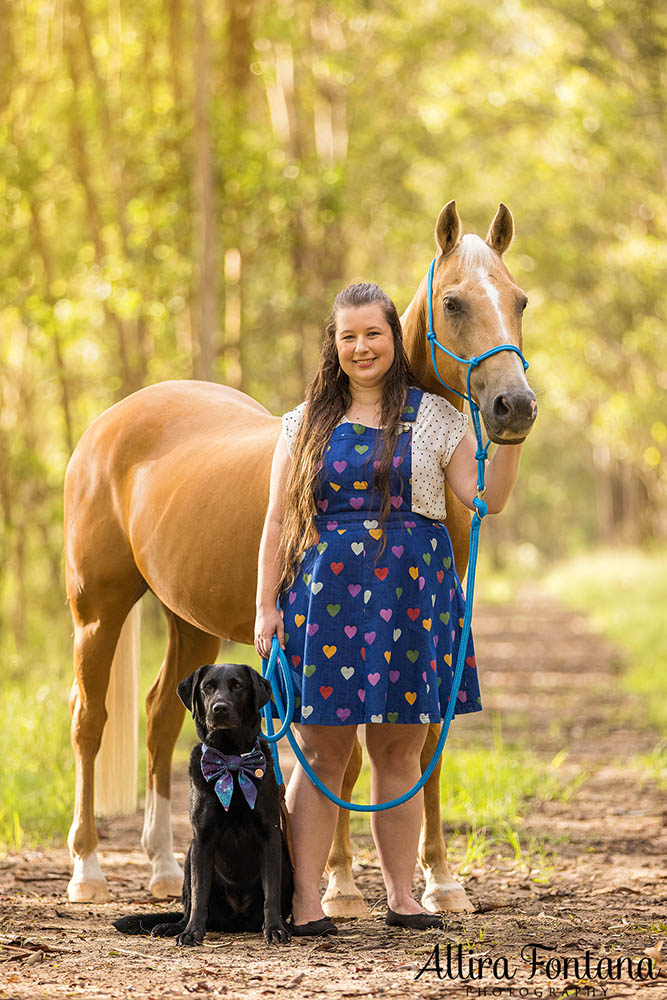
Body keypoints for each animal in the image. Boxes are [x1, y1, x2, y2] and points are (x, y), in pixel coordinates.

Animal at [66, 201, 536, 908]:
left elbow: (425, 750)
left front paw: (441, 883)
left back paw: (165, 869)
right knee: (89, 722)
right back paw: (89, 871)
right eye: (454, 302)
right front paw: (339, 883)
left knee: (159, 720)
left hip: (190, 621)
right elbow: (341, 762)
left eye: (519, 300)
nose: (515, 406)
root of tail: (108, 425)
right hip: (98, 609)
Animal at [112, 664, 292, 944]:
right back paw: (172, 926)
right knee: (188, 907)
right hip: (188, 858)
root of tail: (236, 921)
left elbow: (271, 891)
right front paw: (191, 933)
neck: (231, 760)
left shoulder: (270, 836)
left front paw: (275, 929)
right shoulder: (203, 839)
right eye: (207, 687)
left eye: (238, 685)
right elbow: (199, 894)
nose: (219, 708)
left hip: (286, 859)